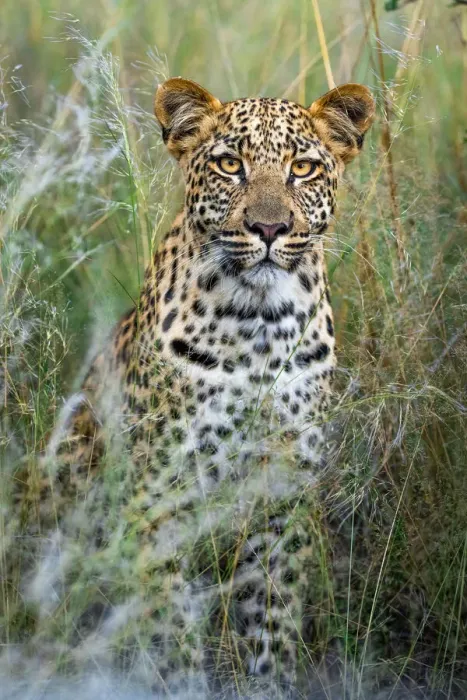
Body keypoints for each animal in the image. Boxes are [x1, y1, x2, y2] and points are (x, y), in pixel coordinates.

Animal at [24, 78, 375, 696]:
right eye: (230, 165)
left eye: (303, 168)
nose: (269, 229)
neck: (259, 324)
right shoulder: (160, 493)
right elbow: (169, 624)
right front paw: (181, 681)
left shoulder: (281, 492)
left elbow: (273, 617)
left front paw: (269, 682)